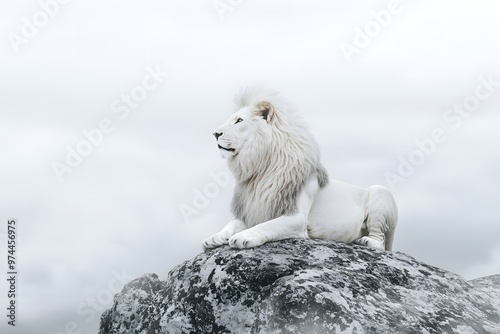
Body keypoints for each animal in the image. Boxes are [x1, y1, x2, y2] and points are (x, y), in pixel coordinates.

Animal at [201, 88, 396, 250]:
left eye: (239, 120)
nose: (215, 134)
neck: (260, 169)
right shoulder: (254, 210)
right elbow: (233, 223)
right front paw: (215, 237)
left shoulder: (297, 217)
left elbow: (268, 225)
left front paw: (244, 236)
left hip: (380, 192)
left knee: (379, 241)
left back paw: (366, 241)